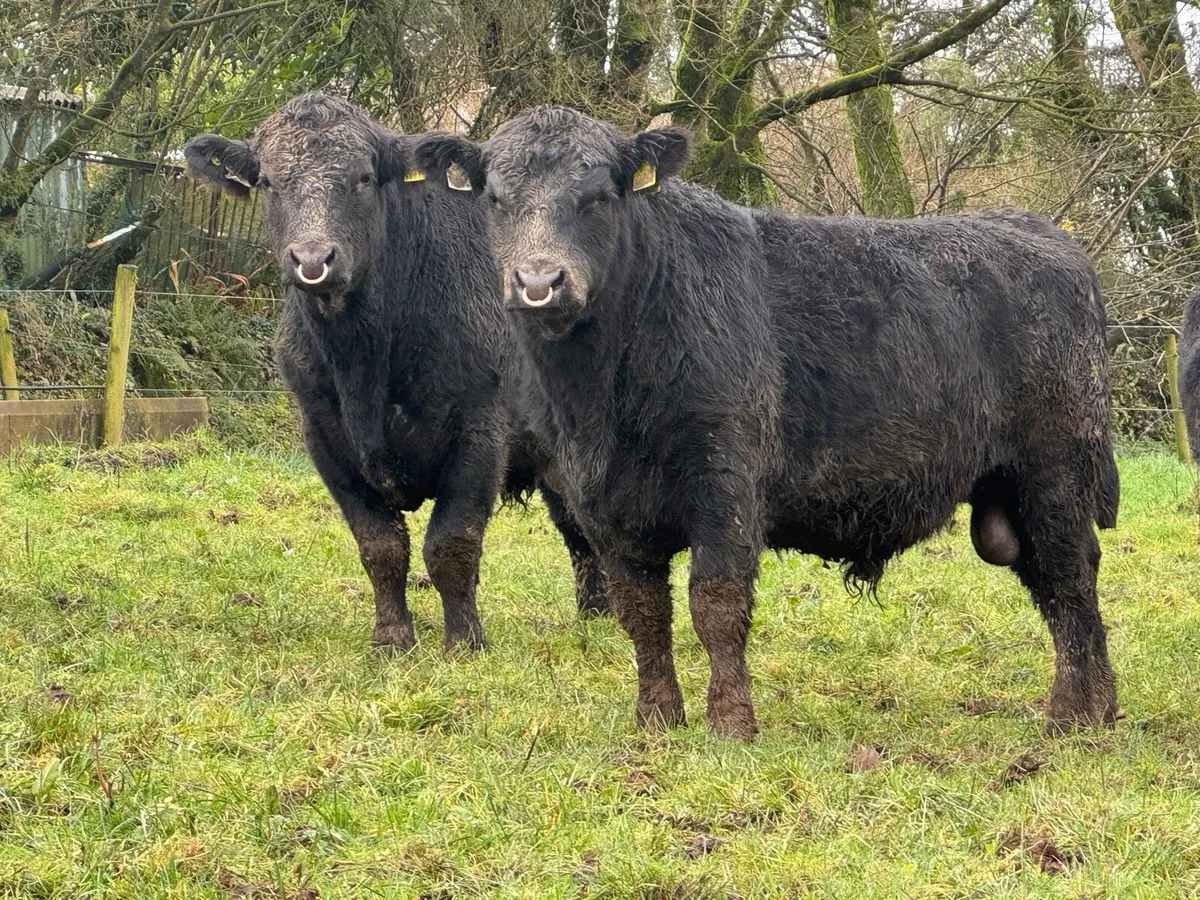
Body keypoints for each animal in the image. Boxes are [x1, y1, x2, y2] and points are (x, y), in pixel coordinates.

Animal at [183, 94, 608, 654]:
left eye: (363, 177)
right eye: (269, 182)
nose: (312, 258)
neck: (365, 363)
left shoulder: (480, 428)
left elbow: (452, 544)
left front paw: (464, 643)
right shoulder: (326, 438)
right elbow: (380, 547)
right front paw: (390, 639)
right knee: (577, 530)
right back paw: (595, 613)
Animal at [415, 105, 1122, 740]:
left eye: (597, 197)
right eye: (496, 199)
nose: (539, 281)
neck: (604, 398)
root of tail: (1042, 233)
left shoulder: (725, 482)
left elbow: (715, 602)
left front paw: (731, 724)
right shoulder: (602, 503)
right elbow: (641, 611)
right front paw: (656, 721)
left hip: (1054, 471)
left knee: (1070, 574)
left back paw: (1075, 716)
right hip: (1008, 489)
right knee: (1052, 582)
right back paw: (1098, 707)